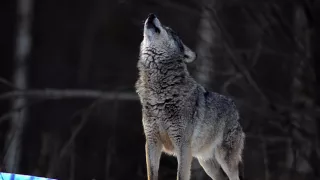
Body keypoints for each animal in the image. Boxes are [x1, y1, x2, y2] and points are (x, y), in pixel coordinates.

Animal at [135, 13, 245, 180]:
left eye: (170, 31)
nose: (151, 15)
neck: (159, 93)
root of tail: (234, 109)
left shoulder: (183, 146)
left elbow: (181, 175)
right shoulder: (151, 142)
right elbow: (151, 175)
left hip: (225, 160)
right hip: (206, 163)